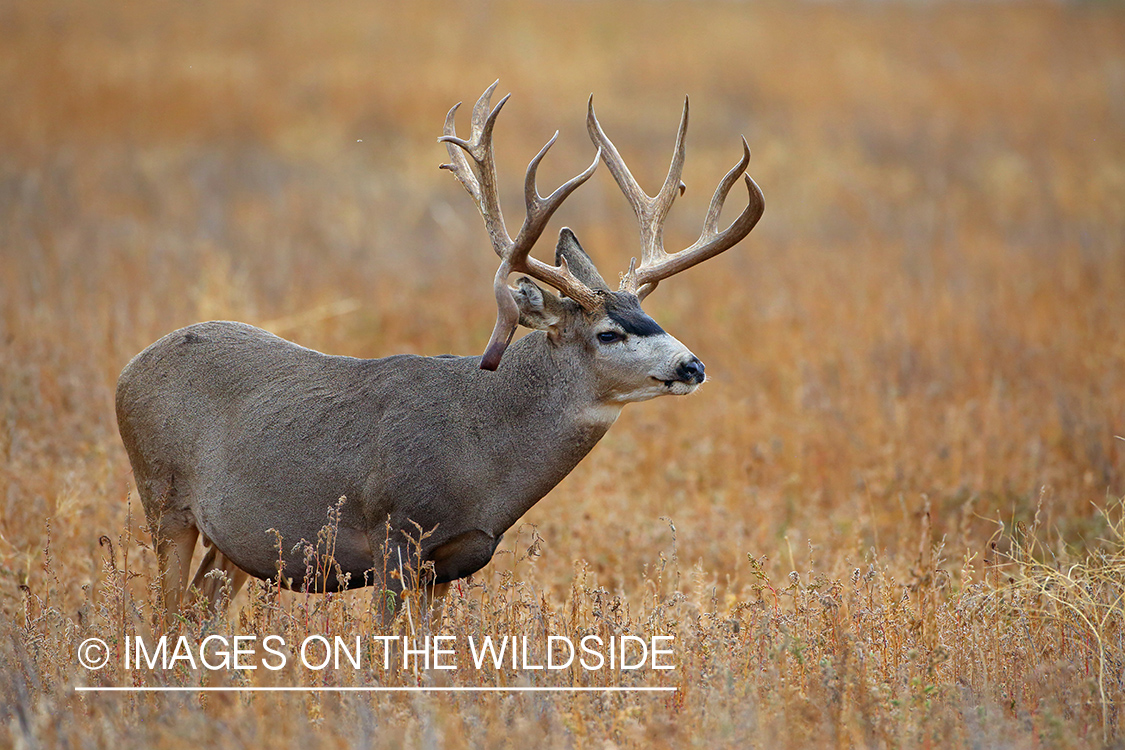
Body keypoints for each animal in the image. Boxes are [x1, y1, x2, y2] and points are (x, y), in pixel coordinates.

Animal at [115, 82, 764, 625]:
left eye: (652, 317)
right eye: (608, 333)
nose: (692, 366)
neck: (482, 453)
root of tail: (129, 368)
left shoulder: (453, 559)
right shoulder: (394, 537)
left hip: (235, 541)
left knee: (198, 608)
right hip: (163, 497)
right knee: (166, 608)